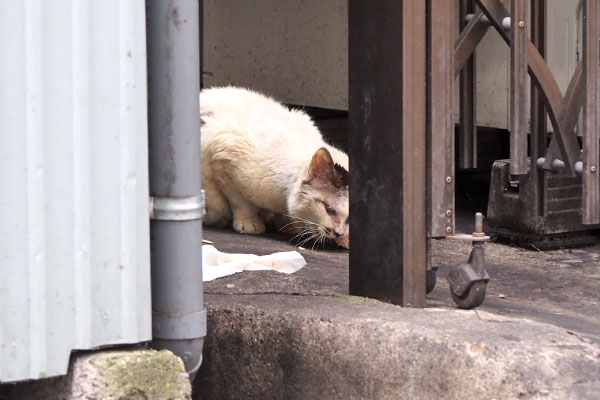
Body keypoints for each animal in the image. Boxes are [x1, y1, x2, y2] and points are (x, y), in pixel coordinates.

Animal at [199, 88, 350, 247]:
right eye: (329, 209)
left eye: (349, 219)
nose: (339, 233)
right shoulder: (224, 159)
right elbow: (240, 202)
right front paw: (249, 222)